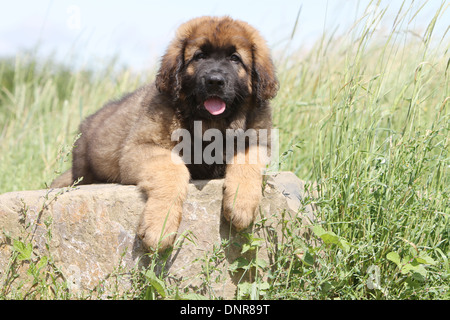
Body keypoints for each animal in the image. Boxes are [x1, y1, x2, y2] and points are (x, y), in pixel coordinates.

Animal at [51, 16, 280, 251]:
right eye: (200, 56)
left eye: (235, 58)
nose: (215, 81)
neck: (211, 125)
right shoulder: (141, 147)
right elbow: (173, 168)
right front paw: (160, 226)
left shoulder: (262, 142)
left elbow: (247, 159)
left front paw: (240, 203)